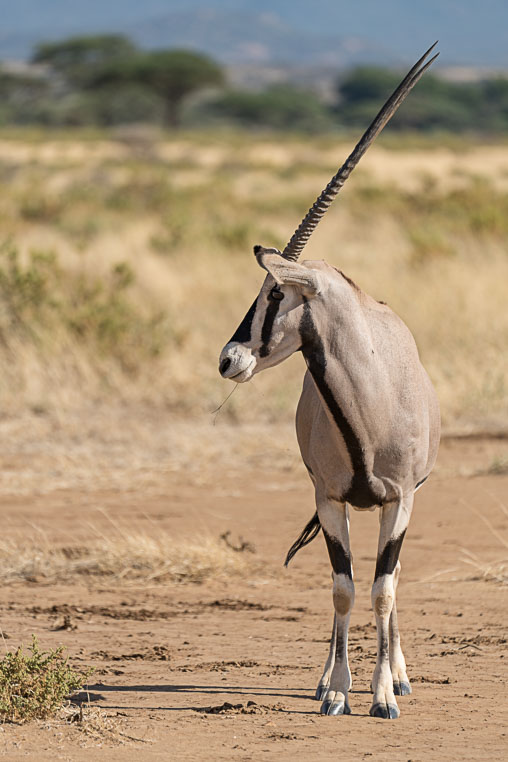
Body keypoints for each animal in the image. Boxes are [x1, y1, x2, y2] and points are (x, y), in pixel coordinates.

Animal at [218, 44, 440, 716]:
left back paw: (399, 676)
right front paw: (336, 692)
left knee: (391, 582)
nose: (229, 360)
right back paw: (329, 679)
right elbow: (344, 587)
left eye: (275, 292)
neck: (370, 403)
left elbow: (383, 588)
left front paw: (384, 694)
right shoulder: (329, 498)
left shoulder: (401, 499)